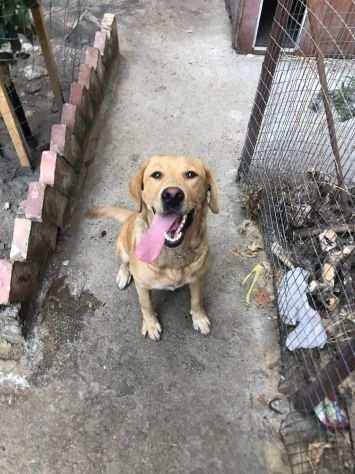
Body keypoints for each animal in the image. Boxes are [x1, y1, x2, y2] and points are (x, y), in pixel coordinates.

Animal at [87, 156, 218, 340]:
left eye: (191, 174)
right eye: (156, 175)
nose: (172, 195)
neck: (172, 254)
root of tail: (131, 215)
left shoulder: (198, 278)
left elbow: (197, 300)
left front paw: (199, 317)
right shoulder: (142, 286)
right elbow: (146, 305)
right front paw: (150, 324)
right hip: (122, 248)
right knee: (124, 262)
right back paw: (123, 274)